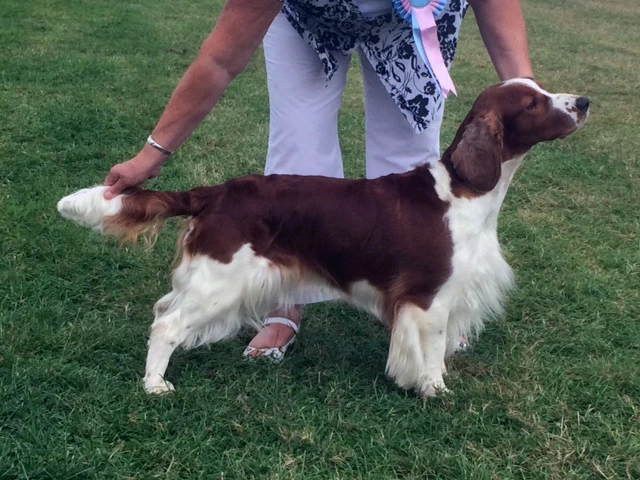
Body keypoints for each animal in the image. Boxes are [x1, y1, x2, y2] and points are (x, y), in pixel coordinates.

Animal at [58, 79, 592, 398]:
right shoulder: (429, 297)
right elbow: (433, 352)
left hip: (206, 276)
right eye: (533, 102)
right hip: (221, 280)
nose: (584, 101)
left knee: (163, 309)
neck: (465, 191)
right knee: (166, 325)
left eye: (541, 89)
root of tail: (216, 192)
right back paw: (154, 384)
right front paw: (434, 390)